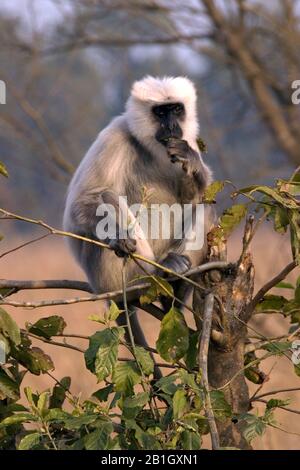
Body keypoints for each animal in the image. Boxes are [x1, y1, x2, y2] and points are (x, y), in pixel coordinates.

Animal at [63, 75, 213, 360]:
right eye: (160, 112)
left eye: (176, 109)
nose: (171, 124)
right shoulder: (114, 136)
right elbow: (80, 204)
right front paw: (119, 239)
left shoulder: (182, 143)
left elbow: (195, 196)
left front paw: (192, 161)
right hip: (108, 278)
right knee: (108, 197)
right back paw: (153, 276)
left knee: (206, 207)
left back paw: (175, 287)